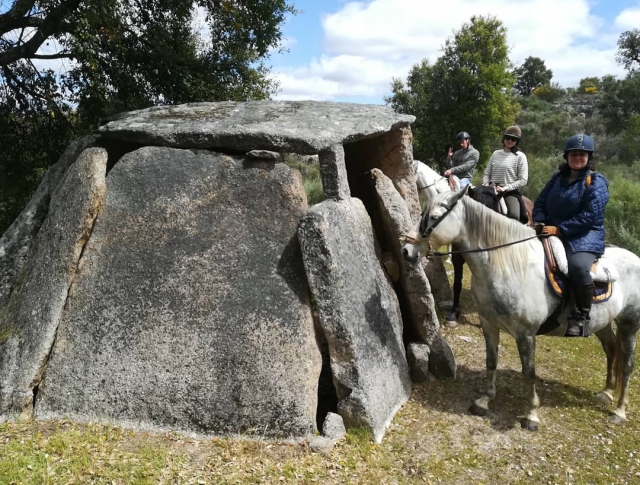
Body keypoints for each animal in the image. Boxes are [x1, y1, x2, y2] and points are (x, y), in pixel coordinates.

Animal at [400, 187, 640, 430]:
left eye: (433, 217)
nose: (406, 250)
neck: (508, 266)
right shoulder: (489, 324)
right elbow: (491, 361)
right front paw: (484, 401)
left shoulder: (525, 334)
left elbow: (529, 372)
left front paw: (532, 415)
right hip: (602, 323)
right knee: (611, 350)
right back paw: (606, 393)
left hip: (629, 323)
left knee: (627, 364)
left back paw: (619, 411)